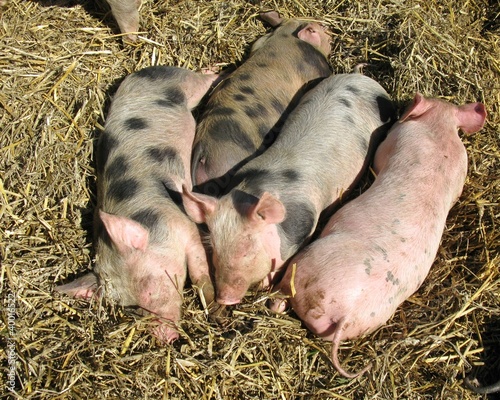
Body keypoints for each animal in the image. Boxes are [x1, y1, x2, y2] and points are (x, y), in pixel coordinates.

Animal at [56, 67, 217, 342]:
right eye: (130, 306)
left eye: (148, 285)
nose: (164, 337)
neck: (149, 223)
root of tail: (139, 73)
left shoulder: (181, 223)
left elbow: (198, 269)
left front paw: (212, 304)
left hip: (180, 81)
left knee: (202, 80)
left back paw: (214, 71)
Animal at [182, 72, 396, 304]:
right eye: (214, 247)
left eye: (247, 250)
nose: (224, 299)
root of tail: (363, 79)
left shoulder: (303, 229)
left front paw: (266, 286)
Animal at [272, 93, 486, 378]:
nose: (401, 105)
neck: (438, 131)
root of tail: (348, 313)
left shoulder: (393, 140)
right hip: (370, 319)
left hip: (305, 264)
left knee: (283, 293)